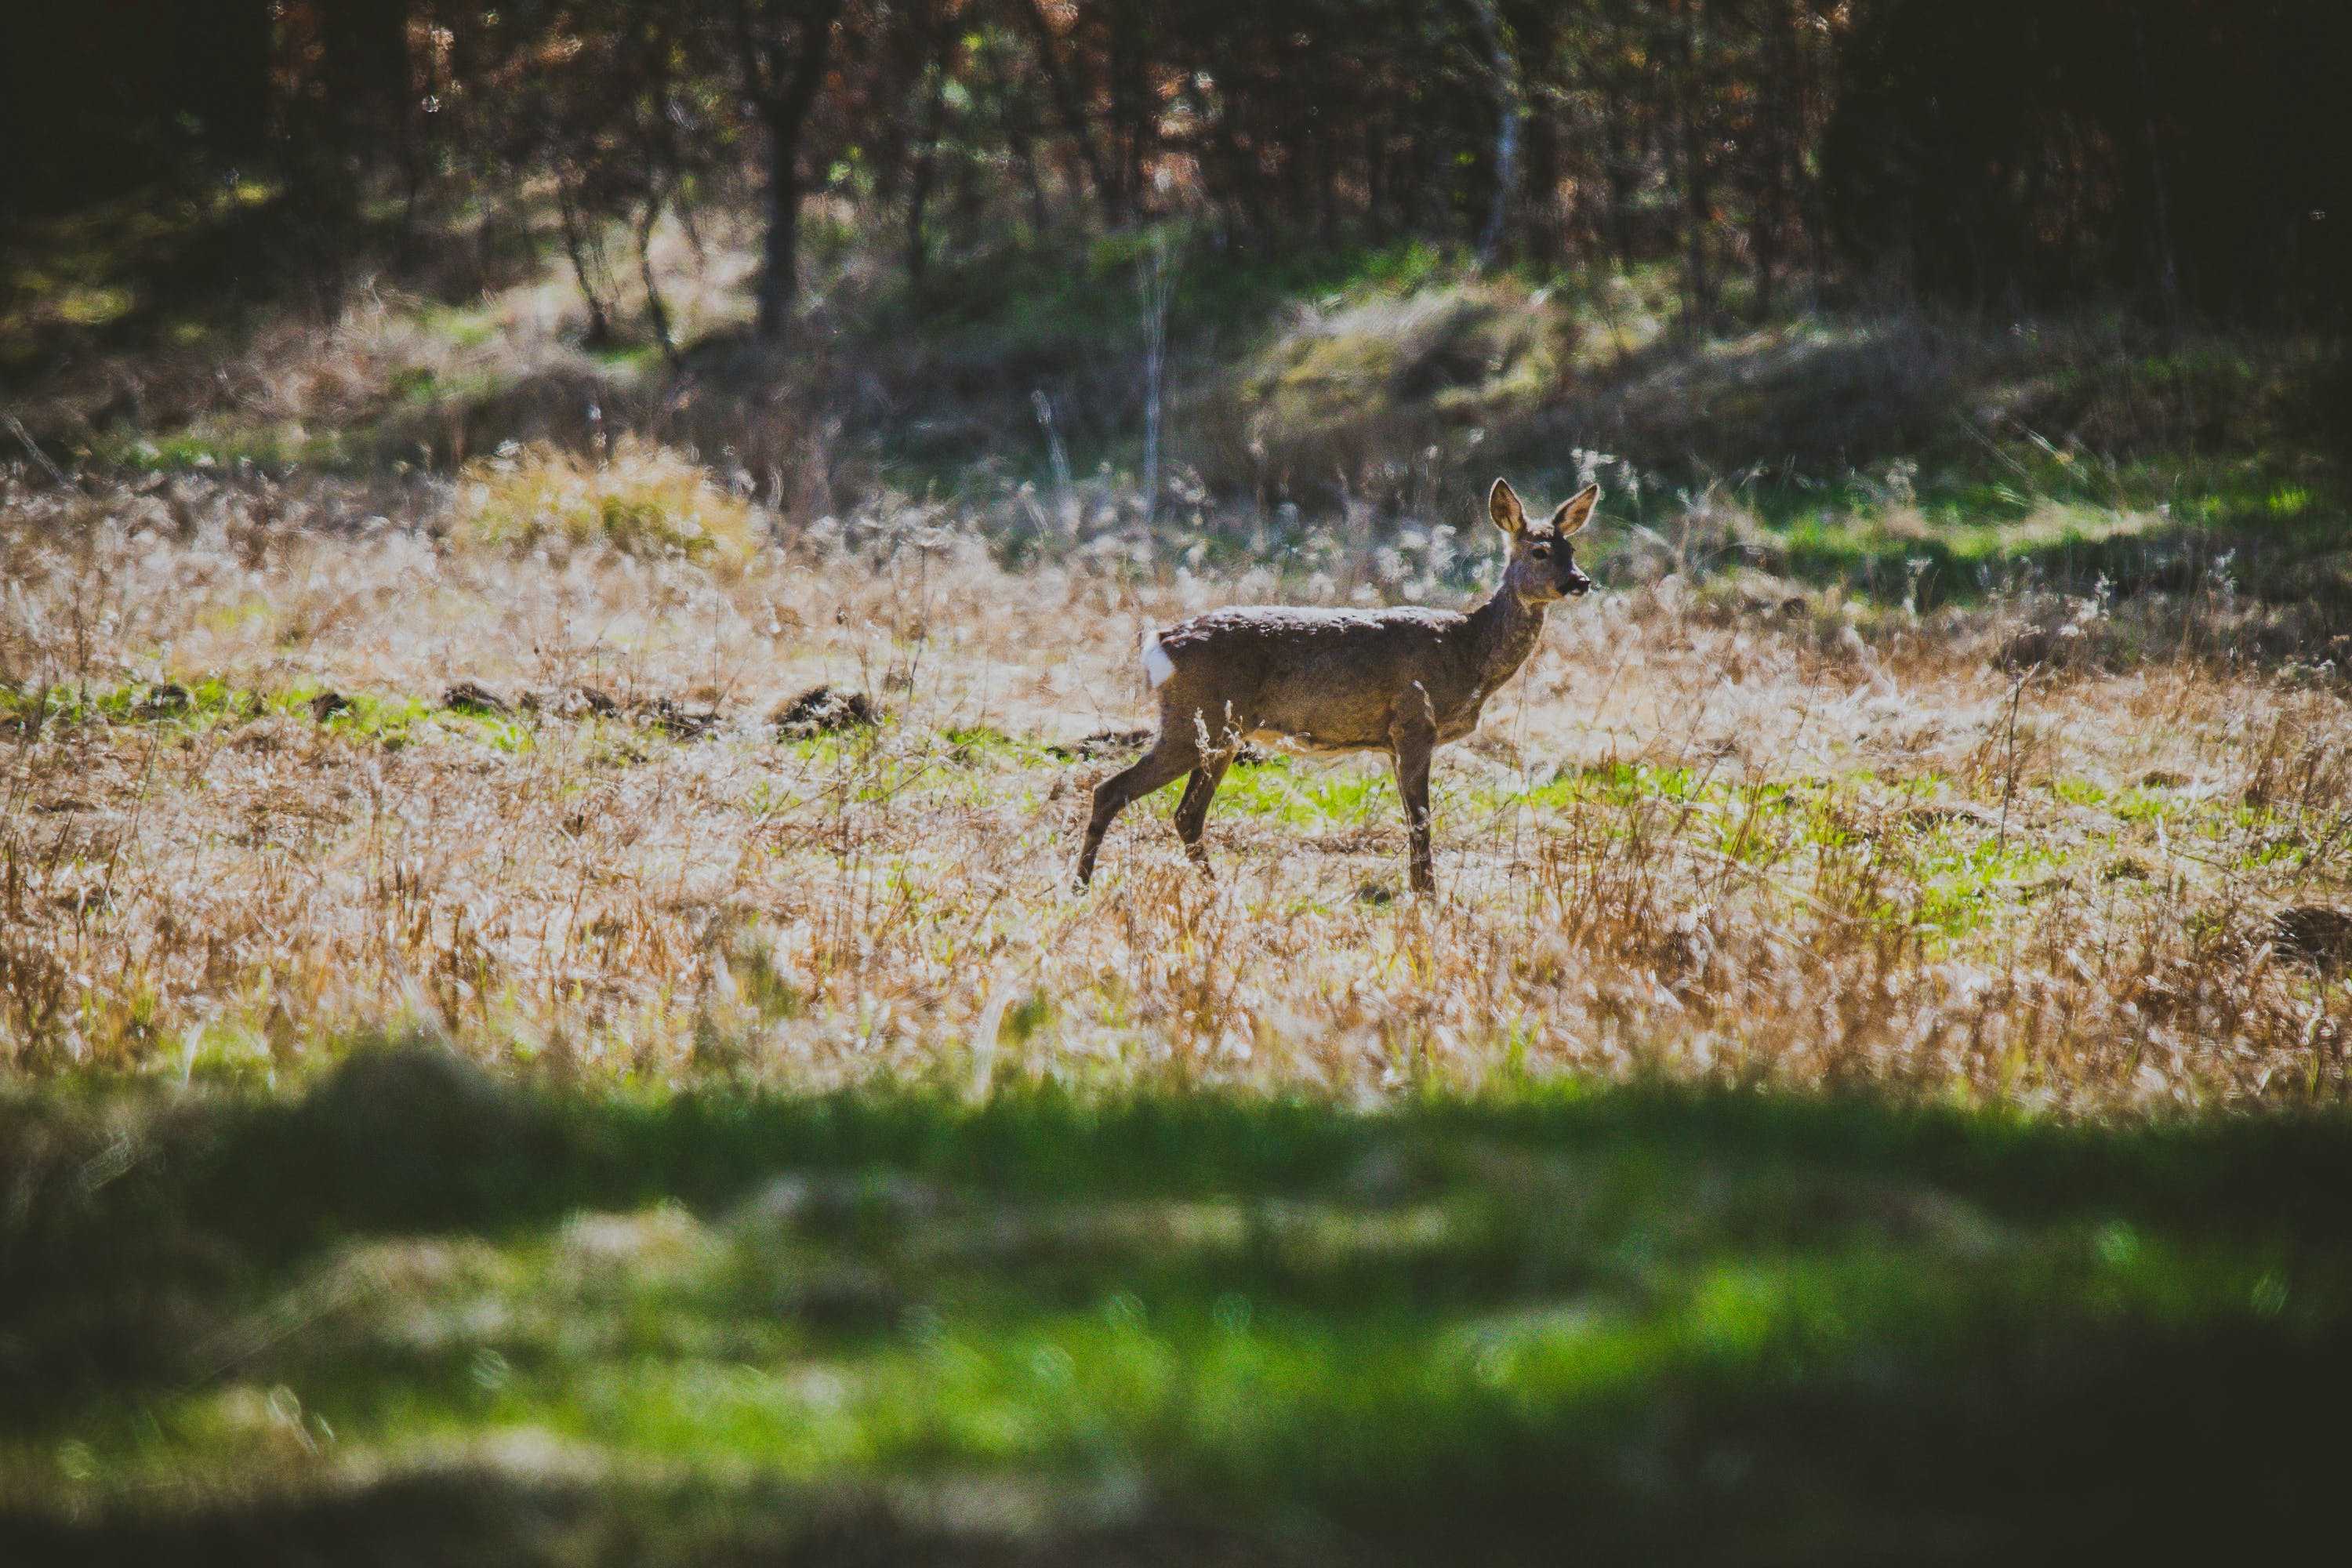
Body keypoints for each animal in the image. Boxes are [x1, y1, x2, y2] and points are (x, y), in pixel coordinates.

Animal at [1077, 474, 1599, 893]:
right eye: (1538, 550)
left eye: (1571, 549)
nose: (1581, 582)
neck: (1467, 650)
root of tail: (1158, 642)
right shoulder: (1414, 722)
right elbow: (1421, 822)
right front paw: (1428, 899)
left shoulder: (1393, 741)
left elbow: (1413, 820)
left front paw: (1421, 893)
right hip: (1195, 720)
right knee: (1112, 791)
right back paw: (1081, 886)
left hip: (1220, 733)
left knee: (1187, 815)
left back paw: (1212, 889)